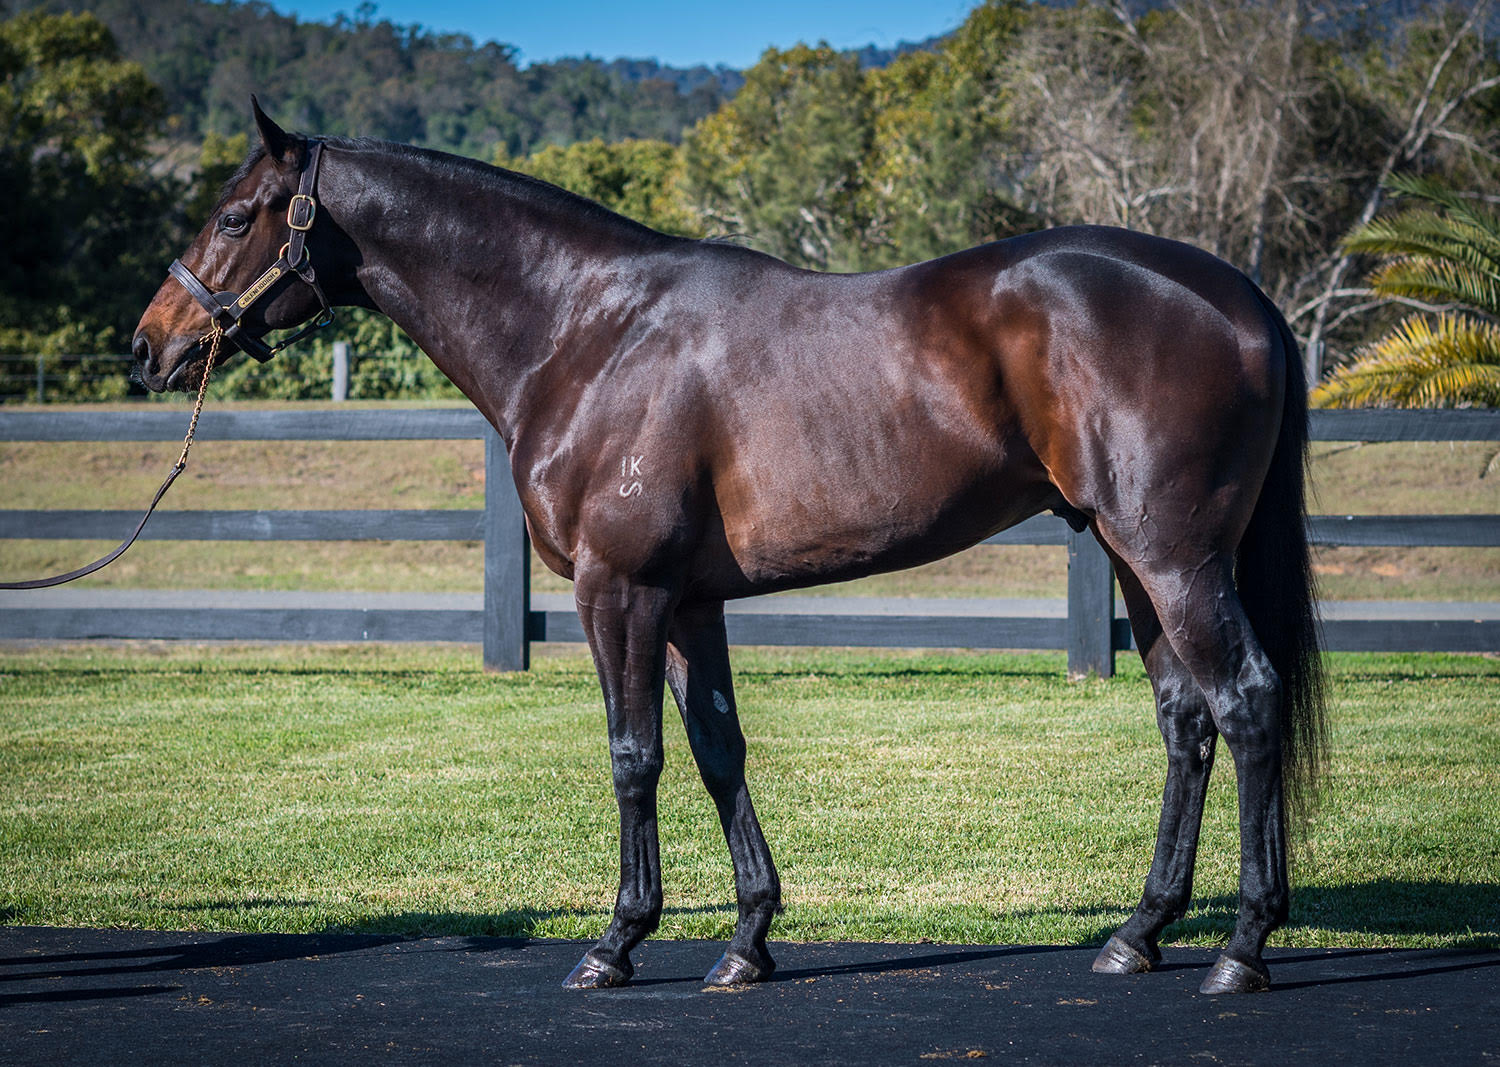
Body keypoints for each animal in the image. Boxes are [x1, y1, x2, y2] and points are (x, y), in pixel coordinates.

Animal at [133, 101, 1326, 995]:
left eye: (234, 216)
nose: (152, 345)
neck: (587, 331)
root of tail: (1238, 294)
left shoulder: (619, 590)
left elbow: (634, 756)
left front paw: (616, 942)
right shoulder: (688, 600)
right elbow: (717, 749)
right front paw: (747, 940)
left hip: (1174, 558)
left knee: (1247, 701)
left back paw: (1243, 946)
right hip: (1134, 560)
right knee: (1186, 721)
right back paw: (1139, 932)